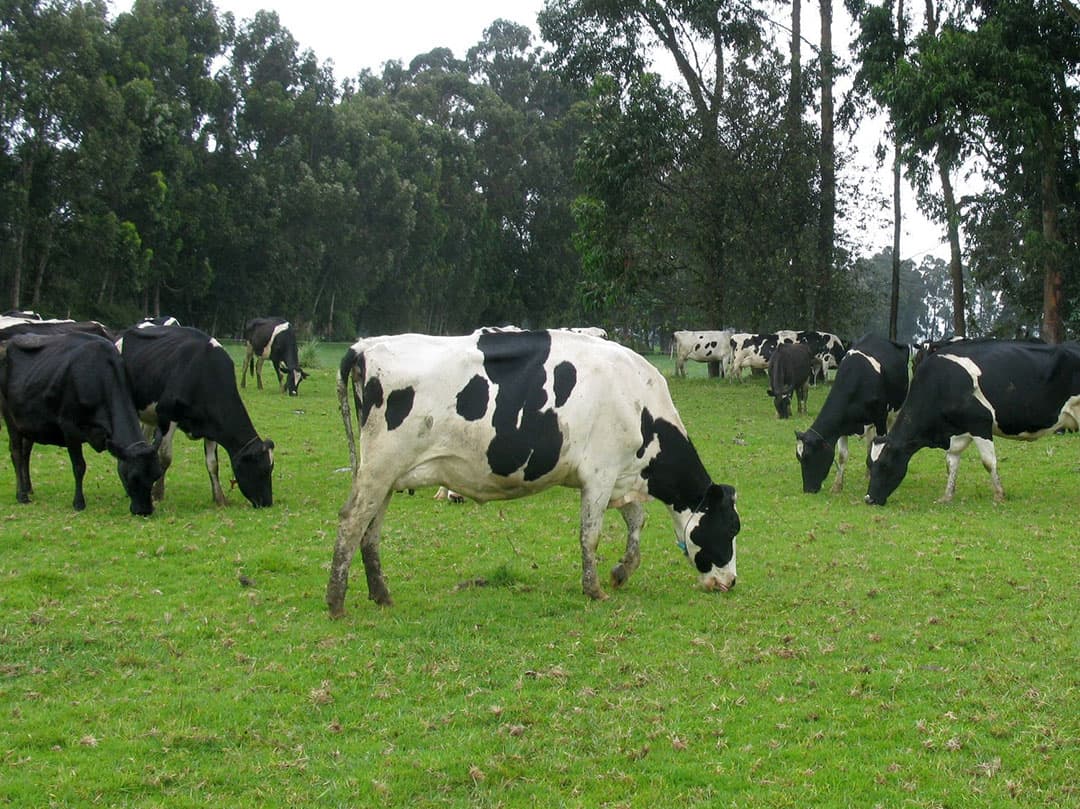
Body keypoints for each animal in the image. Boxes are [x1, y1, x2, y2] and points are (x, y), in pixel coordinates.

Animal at [0, 331, 162, 514]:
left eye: (156, 475)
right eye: (133, 478)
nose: (145, 511)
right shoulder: (69, 427)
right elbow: (79, 466)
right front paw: (78, 502)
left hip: (30, 423)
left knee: (26, 452)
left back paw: (28, 488)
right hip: (10, 417)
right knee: (16, 453)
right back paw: (21, 495)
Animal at [116, 325, 275, 508]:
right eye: (263, 469)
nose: (267, 502)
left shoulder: (212, 426)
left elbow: (213, 464)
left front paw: (219, 498)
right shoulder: (167, 417)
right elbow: (165, 457)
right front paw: (157, 494)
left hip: (149, 415)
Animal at [328, 329, 741, 616]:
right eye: (730, 528)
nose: (731, 582)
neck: (639, 402)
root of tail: (366, 346)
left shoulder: (622, 475)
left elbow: (636, 523)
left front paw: (621, 572)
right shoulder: (599, 474)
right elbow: (590, 535)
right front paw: (594, 589)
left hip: (387, 476)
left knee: (370, 529)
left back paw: (381, 595)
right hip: (379, 468)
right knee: (351, 521)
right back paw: (336, 603)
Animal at [795, 334, 911, 494]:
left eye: (809, 456)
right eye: (799, 457)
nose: (808, 489)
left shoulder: (880, 419)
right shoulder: (841, 425)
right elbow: (842, 456)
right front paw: (837, 486)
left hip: (893, 412)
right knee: (869, 444)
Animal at [866, 339, 1080, 505]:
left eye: (884, 464)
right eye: (869, 464)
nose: (869, 499)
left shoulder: (980, 425)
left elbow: (988, 462)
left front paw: (999, 495)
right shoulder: (956, 431)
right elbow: (951, 463)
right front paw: (947, 496)